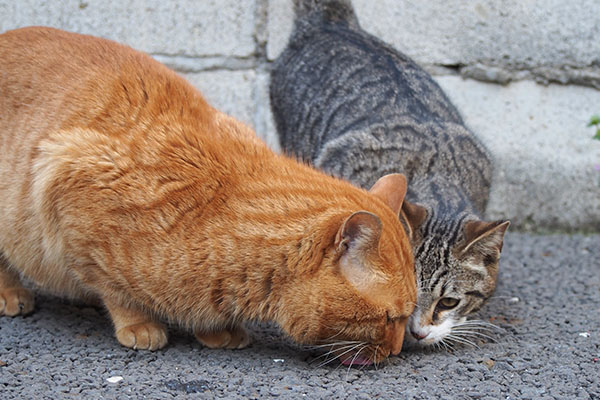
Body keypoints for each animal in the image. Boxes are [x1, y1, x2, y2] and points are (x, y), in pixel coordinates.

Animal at [0, 27, 412, 366]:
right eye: (392, 318)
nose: (395, 352)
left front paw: (217, 329)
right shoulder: (64, 171)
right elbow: (115, 290)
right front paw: (139, 323)